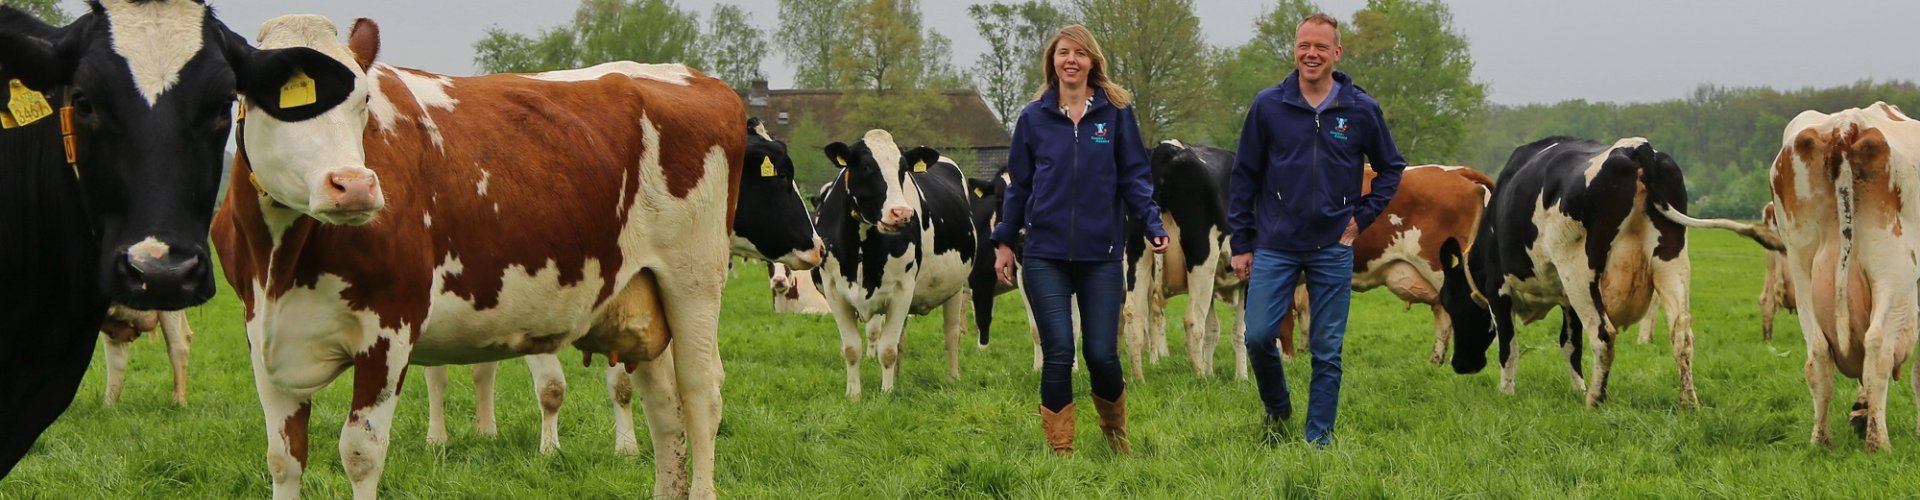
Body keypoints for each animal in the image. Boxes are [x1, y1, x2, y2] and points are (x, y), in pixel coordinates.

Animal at [210, 16, 743, 499]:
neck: (280, 264)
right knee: (664, 408)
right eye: (268, 101)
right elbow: (283, 460)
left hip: (694, 281)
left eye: (364, 101)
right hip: (644, 292)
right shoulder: (264, 339)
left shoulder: (389, 331)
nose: (354, 185)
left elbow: (360, 454)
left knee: (699, 395)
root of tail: (688, 75)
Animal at [813, 129, 977, 398]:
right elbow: (852, 348)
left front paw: (887, 393)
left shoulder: (902, 290)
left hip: (955, 287)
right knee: (902, 339)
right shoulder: (834, 290)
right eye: (866, 166)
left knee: (951, 333)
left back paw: (953, 378)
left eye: (903, 170)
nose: (901, 213)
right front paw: (854, 395)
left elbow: (887, 350)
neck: (862, 248)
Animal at [1436, 136, 1780, 409]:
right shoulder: (1565, 298)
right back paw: (1688, 403)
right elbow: (1570, 345)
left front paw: (1507, 391)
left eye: (1451, 303)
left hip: (1579, 271)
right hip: (1672, 262)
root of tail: (1637, 147)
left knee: (1603, 334)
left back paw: (1596, 401)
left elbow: (1509, 345)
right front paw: (1577, 387)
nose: (1461, 364)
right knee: (1682, 334)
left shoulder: (1500, 291)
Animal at [1765, 103, 1919, 451]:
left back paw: (1821, 440)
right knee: (1877, 347)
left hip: (1802, 265)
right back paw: (1878, 443)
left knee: (1818, 354)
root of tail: (1845, 125)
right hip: (1892, 269)